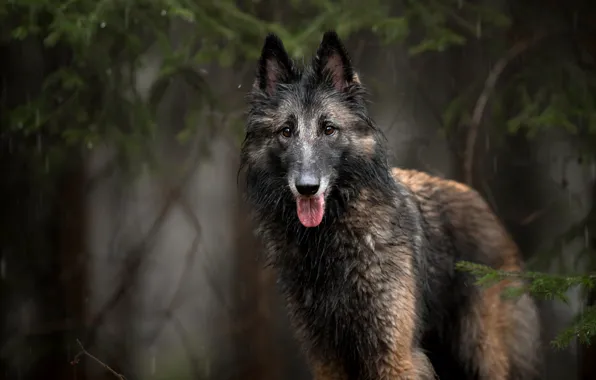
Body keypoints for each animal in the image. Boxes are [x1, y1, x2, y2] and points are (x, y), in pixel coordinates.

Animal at [237, 30, 540, 380]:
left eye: (329, 129)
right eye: (286, 131)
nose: (307, 187)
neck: (327, 240)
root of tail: (483, 204)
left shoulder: (395, 355)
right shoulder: (328, 358)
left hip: (480, 354)